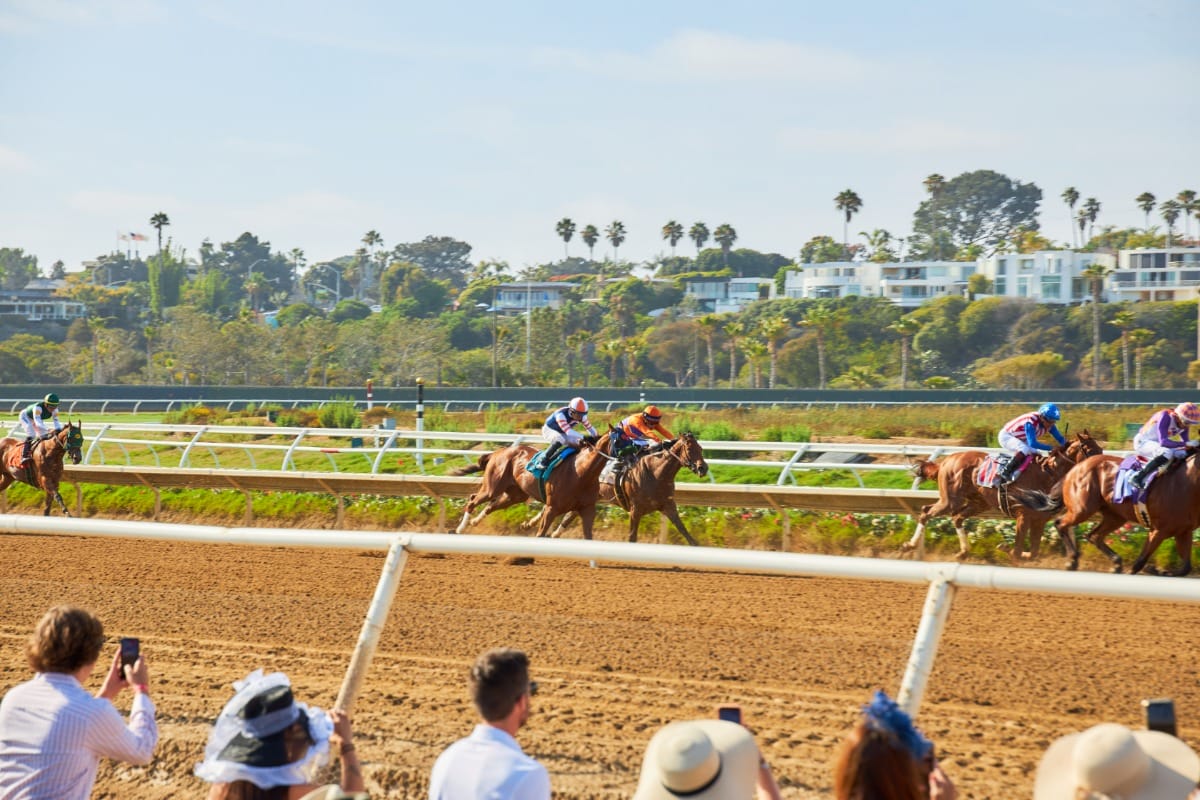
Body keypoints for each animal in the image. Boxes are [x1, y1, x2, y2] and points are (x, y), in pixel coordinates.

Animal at [451, 434, 614, 542]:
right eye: (618, 440)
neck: (580, 472)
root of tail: (498, 451)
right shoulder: (552, 508)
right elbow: (541, 533)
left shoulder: (587, 508)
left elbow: (588, 536)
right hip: (493, 487)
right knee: (473, 500)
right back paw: (460, 528)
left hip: (516, 495)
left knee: (491, 505)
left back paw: (473, 522)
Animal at [547, 431, 705, 551]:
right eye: (689, 449)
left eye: (701, 448)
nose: (703, 468)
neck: (655, 473)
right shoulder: (636, 510)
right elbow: (632, 537)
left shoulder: (668, 505)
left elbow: (684, 531)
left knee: (568, 516)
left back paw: (553, 535)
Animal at [902, 431, 1099, 563]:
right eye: (1089, 449)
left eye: (1099, 448)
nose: (1101, 463)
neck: (1048, 474)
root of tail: (946, 461)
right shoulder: (1023, 515)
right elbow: (1018, 550)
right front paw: (1005, 548)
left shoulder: (1039, 520)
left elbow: (1033, 552)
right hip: (950, 499)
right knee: (926, 511)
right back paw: (909, 545)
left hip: (980, 503)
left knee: (957, 517)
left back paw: (963, 551)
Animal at [1017, 450, 1200, 575]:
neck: (1185, 484)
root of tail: (1075, 468)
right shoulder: (1158, 530)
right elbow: (1139, 562)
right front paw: (1149, 569)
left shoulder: (1184, 532)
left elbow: (1186, 567)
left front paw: (1160, 571)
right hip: (1082, 509)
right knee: (1060, 523)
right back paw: (1072, 560)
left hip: (1115, 516)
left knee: (1094, 536)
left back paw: (1116, 563)